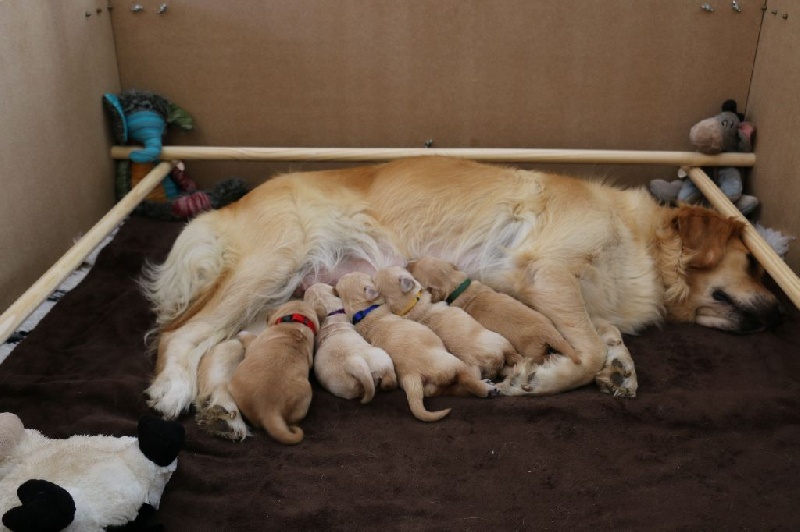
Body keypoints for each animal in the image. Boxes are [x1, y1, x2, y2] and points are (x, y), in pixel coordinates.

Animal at [332, 272, 494, 422]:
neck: (362, 312)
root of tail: (412, 374)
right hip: (453, 363)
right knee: (467, 379)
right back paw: (487, 388)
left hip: (433, 385)